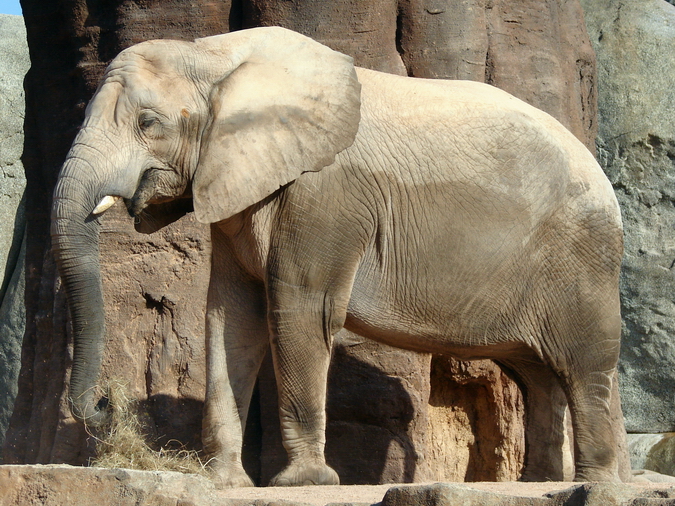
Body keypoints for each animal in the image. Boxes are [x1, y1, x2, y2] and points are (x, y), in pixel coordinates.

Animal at [51, 26, 625, 486]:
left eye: (149, 123)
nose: (105, 405)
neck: (217, 55)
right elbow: (229, 317)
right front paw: (224, 482)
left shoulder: (324, 194)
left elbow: (300, 311)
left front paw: (303, 483)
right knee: (538, 375)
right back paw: (541, 482)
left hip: (582, 256)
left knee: (583, 367)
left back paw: (594, 486)